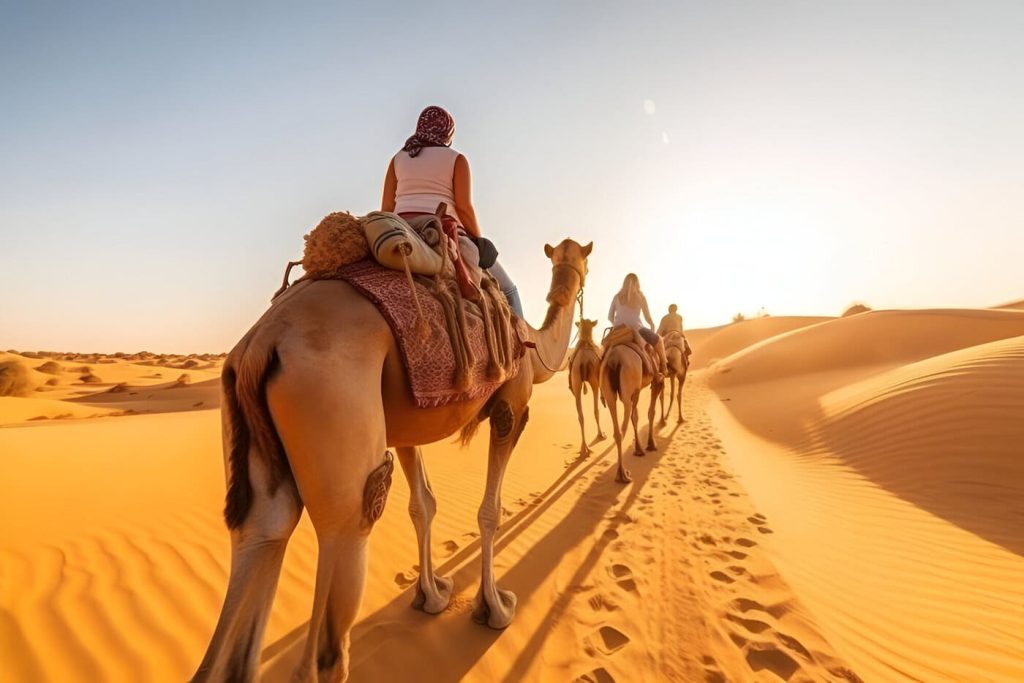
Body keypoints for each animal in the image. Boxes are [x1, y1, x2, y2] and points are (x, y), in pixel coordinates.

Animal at [192, 239, 591, 683]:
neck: (534, 346)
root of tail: (263, 342)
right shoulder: (512, 404)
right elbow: (489, 512)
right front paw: (495, 608)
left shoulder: (406, 424)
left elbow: (423, 505)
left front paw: (431, 595)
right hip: (334, 408)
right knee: (345, 542)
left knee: (263, 534)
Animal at [567, 318, 606, 456]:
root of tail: (583, 361)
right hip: (594, 381)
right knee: (596, 410)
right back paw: (600, 434)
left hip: (576, 381)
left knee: (581, 415)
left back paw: (584, 448)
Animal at [599, 333, 664, 483]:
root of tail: (613, 359)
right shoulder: (654, 383)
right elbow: (650, 412)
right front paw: (651, 444)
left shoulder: (637, 390)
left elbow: (635, 417)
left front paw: (639, 449)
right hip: (628, 387)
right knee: (624, 426)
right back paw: (623, 474)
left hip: (610, 393)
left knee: (617, 429)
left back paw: (621, 473)